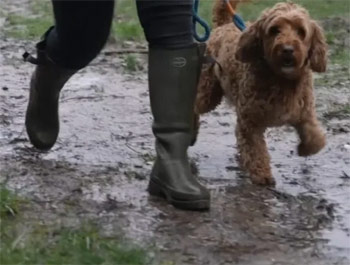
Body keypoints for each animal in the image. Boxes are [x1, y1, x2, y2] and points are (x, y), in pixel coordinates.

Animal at [196, 1, 326, 185]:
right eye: (274, 30)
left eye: (301, 31)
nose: (287, 49)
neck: (281, 79)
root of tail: (224, 24)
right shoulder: (251, 121)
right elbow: (256, 149)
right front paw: (262, 174)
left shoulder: (304, 113)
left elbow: (316, 138)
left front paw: (305, 149)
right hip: (208, 93)